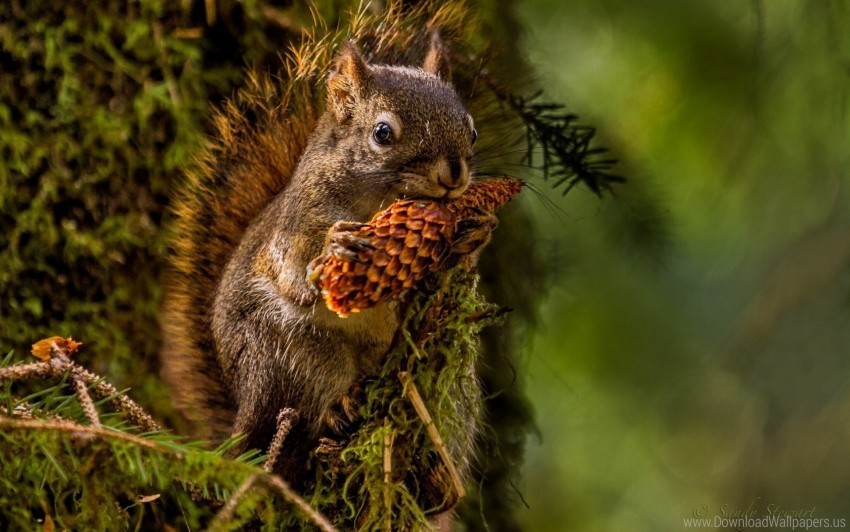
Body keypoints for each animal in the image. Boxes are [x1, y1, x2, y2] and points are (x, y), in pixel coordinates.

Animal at [161, 31, 490, 484]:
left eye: (472, 131)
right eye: (382, 133)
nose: (453, 175)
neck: (377, 203)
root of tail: (241, 417)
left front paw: (476, 233)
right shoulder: (295, 221)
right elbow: (294, 259)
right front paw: (333, 248)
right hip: (292, 354)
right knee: (305, 415)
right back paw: (337, 409)